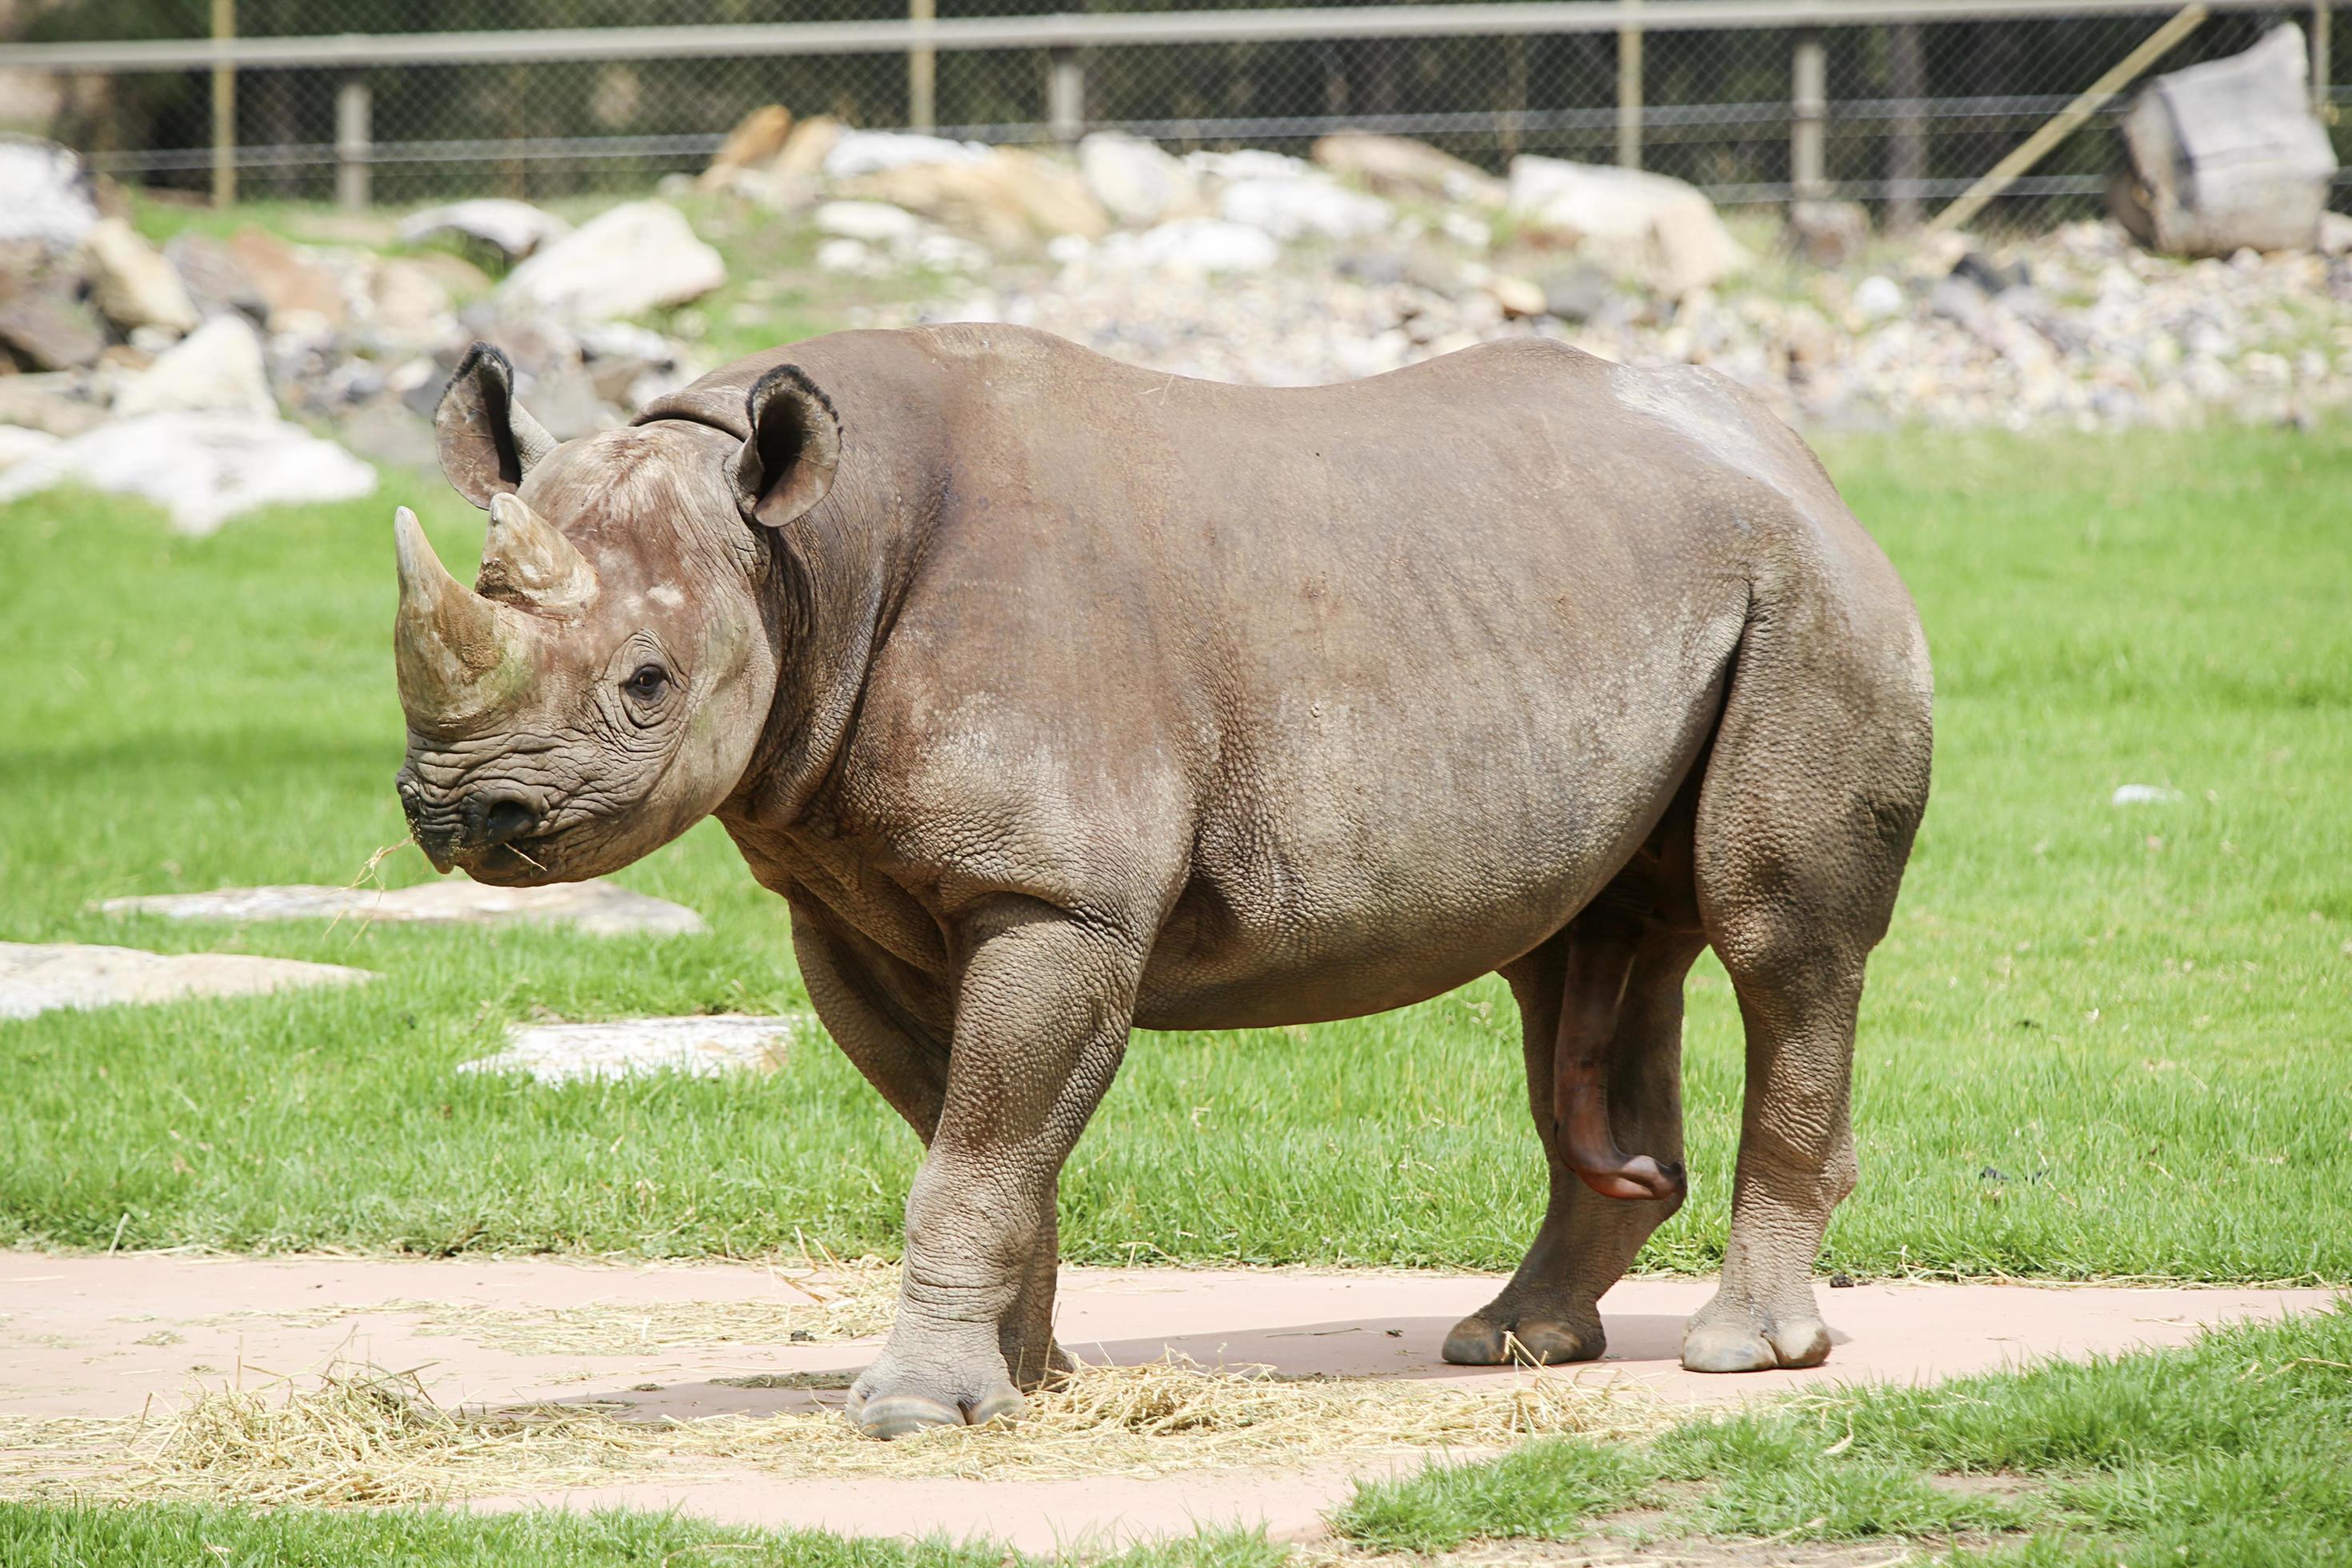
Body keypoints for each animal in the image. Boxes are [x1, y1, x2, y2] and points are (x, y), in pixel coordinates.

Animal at [393, 326, 1932, 1439]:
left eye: (648, 686)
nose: (461, 810)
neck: (803, 558)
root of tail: (1795, 457)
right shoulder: (842, 904)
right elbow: (974, 1140)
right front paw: (1025, 1382)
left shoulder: (1053, 896)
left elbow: (974, 1154)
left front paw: (913, 1412)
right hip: (1616, 587)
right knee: (1578, 960)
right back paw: (1515, 1343)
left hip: (1811, 598)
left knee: (1773, 936)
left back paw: (1739, 1356)